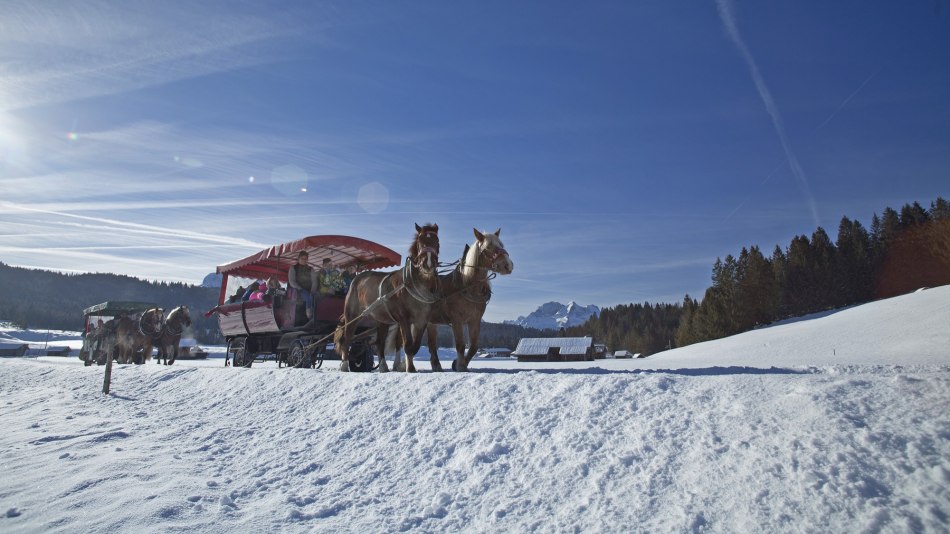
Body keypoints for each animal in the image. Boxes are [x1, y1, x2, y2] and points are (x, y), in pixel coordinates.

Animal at [332, 224, 440, 374]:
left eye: (437, 242)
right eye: (420, 242)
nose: (428, 264)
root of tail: (357, 278)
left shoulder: (422, 319)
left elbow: (415, 345)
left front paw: (404, 365)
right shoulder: (403, 318)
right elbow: (408, 344)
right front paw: (410, 368)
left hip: (381, 320)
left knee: (380, 342)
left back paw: (383, 366)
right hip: (353, 315)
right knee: (347, 338)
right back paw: (344, 364)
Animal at [422, 229, 512, 372]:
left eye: (501, 245)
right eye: (488, 247)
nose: (508, 265)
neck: (467, 287)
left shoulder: (474, 320)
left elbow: (474, 346)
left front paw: (457, 363)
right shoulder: (456, 320)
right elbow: (460, 344)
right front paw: (461, 366)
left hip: (432, 322)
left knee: (432, 343)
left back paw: (436, 365)